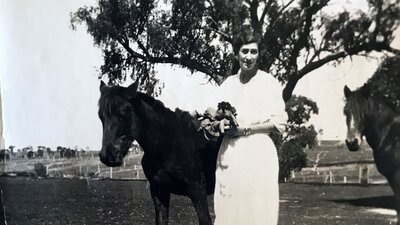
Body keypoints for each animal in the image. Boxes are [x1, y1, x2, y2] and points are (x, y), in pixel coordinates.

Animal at [98, 81, 220, 225]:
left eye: (123, 114)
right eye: (101, 116)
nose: (108, 155)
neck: (170, 146)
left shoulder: (198, 191)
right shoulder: (159, 191)